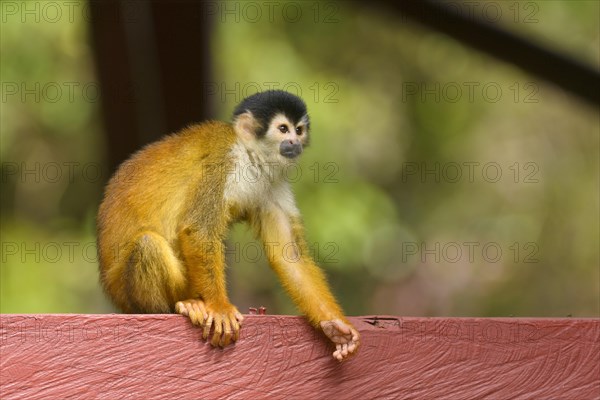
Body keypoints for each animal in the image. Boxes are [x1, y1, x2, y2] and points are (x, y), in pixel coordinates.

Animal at [98, 90, 358, 360]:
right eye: (283, 129)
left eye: (299, 130)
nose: (295, 143)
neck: (250, 157)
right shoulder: (221, 163)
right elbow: (200, 230)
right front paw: (220, 308)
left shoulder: (272, 183)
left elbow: (289, 255)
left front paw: (334, 326)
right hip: (127, 292)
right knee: (148, 244)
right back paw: (176, 307)